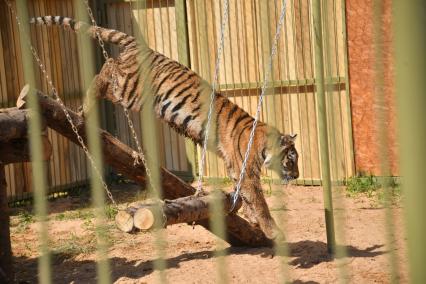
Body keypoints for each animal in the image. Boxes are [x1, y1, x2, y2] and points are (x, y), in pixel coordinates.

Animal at [31, 15, 300, 241]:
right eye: (291, 159)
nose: (297, 176)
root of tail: (143, 47)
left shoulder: (235, 167)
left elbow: (244, 195)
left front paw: (253, 219)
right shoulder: (247, 170)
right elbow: (259, 200)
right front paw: (273, 230)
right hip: (130, 90)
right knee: (106, 69)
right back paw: (84, 106)